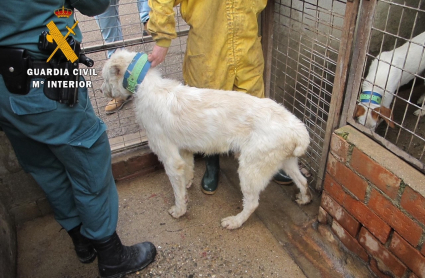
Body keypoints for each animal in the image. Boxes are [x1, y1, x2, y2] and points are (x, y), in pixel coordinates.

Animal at [100, 48, 310, 229]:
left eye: (104, 78)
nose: (102, 91)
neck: (147, 87)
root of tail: (297, 129)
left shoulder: (169, 157)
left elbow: (177, 191)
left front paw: (179, 210)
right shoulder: (183, 150)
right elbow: (188, 170)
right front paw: (187, 184)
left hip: (250, 170)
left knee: (252, 203)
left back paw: (235, 221)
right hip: (287, 162)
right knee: (303, 181)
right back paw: (304, 198)